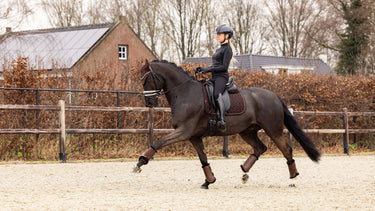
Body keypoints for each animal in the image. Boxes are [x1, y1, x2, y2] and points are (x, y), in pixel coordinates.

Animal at [134, 59, 322, 190]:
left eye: (147, 80)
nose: (149, 103)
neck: (185, 93)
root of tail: (274, 95)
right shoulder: (194, 136)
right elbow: (203, 159)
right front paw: (209, 181)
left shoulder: (184, 131)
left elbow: (158, 143)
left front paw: (140, 163)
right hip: (247, 132)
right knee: (260, 148)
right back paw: (244, 172)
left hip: (273, 129)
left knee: (286, 150)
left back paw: (293, 179)